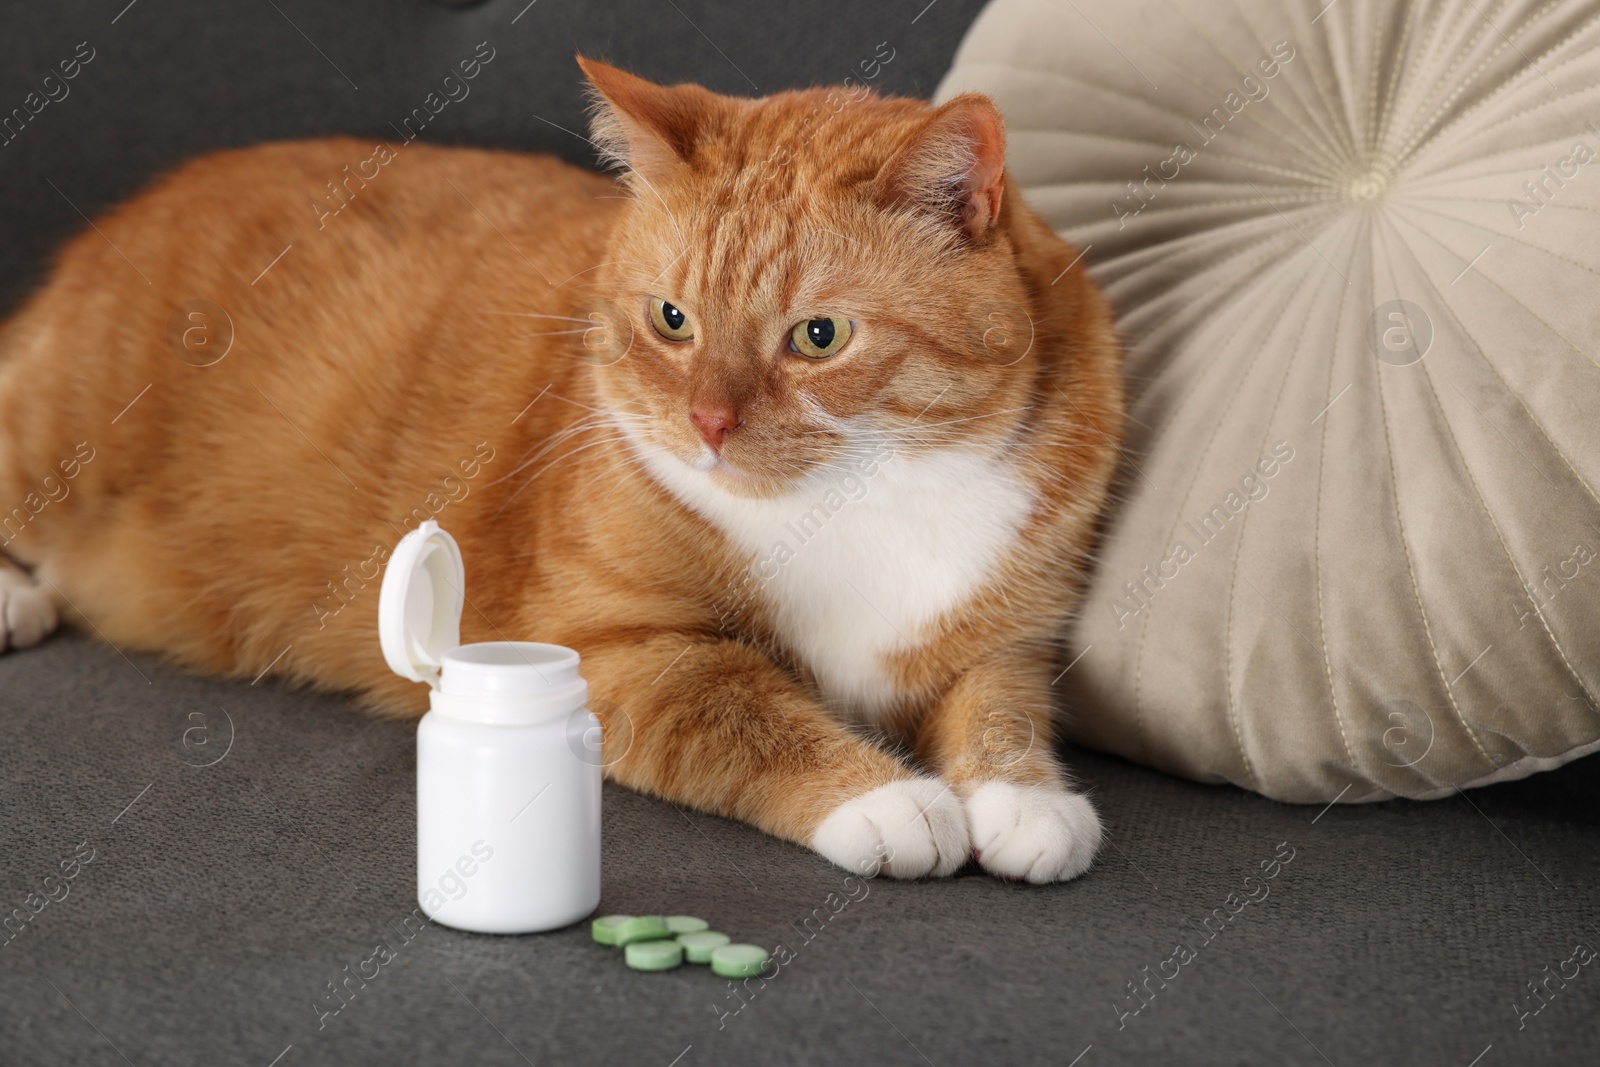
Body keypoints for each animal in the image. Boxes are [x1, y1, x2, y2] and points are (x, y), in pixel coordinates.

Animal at [0, 58, 1126, 883]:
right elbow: (750, 711)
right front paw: (888, 797)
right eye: (672, 318)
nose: (708, 423)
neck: (861, 498)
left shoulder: (1010, 628)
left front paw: (1025, 800)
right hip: (54, 440)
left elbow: (1000, 702)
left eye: (820, 336)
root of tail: (139, 205)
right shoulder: (614, 645)